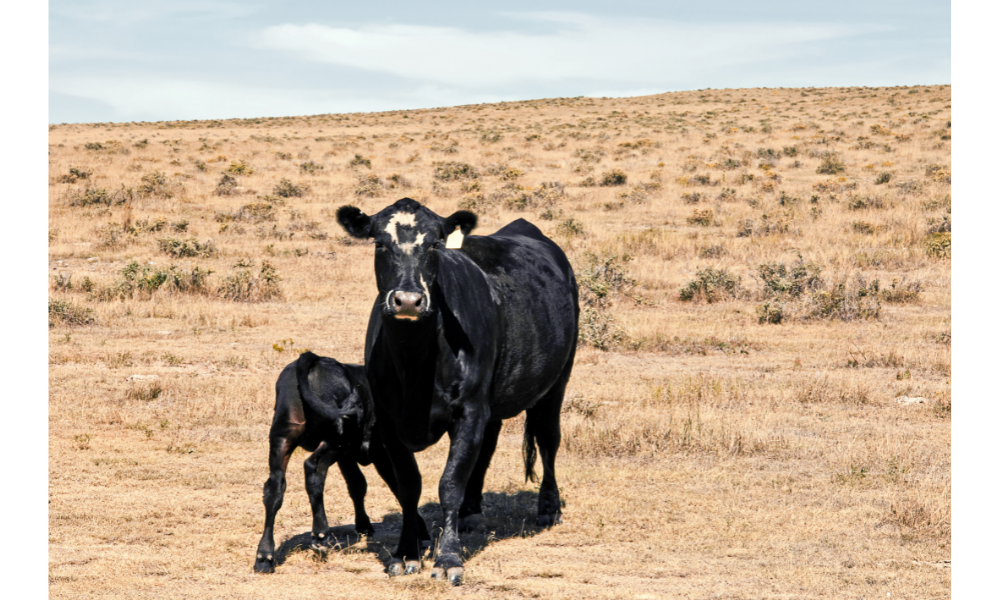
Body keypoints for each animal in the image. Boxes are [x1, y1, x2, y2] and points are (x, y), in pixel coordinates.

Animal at [252, 350, 428, 576]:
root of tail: (315, 359)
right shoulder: (383, 452)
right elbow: (400, 487)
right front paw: (420, 533)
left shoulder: (348, 457)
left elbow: (357, 485)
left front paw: (364, 526)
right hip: (337, 438)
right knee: (313, 468)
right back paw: (320, 534)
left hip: (283, 436)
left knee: (275, 487)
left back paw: (264, 556)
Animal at [336, 199, 580, 584]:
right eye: (379, 244)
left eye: (434, 244)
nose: (408, 300)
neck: (414, 360)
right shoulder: (389, 420)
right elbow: (408, 485)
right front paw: (405, 553)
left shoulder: (468, 410)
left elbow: (449, 483)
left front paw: (448, 559)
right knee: (488, 446)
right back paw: (471, 510)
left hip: (557, 382)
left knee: (548, 438)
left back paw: (548, 507)